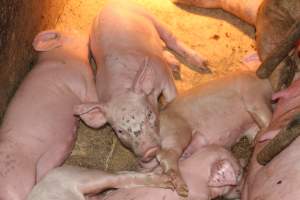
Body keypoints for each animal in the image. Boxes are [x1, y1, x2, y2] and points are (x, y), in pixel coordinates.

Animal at [75, 0, 211, 162]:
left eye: (149, 115)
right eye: (120, 131)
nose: (149, 151)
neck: (121, 89)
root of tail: (110, 4)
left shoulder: (164, 76)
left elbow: (172, 96)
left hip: (148, 15)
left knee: (170, 38)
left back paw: (203, 64)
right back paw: (175, 64)